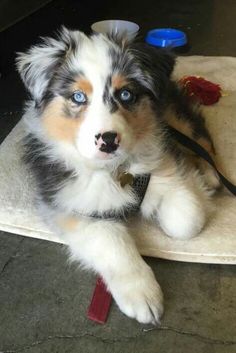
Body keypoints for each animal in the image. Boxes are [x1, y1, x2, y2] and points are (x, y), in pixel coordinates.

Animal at [16, 27, 216, 324]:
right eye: (78, 97)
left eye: (125, 95)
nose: (108, 141)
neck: (113, 171)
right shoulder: (71, 206)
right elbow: (112, 242)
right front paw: (142, 295)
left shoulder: (162, 168)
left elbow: (186, 222)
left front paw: (196, 185)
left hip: (172, 114)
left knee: (200, 137)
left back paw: (209, 175)